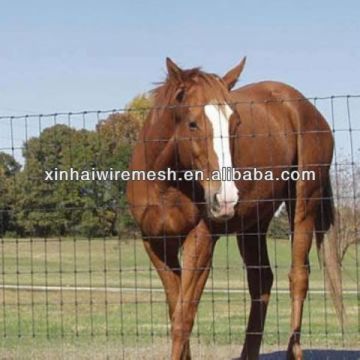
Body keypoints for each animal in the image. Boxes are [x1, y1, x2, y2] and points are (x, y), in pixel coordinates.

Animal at [127, 59, 344, 360]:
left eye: (235, 123)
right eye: (192, 124)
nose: (226, 198)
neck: (166, 183)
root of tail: (307, 109)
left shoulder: (201, 241)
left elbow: (184, 318)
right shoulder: (157, 244)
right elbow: (175, 309)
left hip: (302, 206)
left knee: (298, 277)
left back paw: (294, 351)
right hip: (253, 226)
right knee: (261, 282)